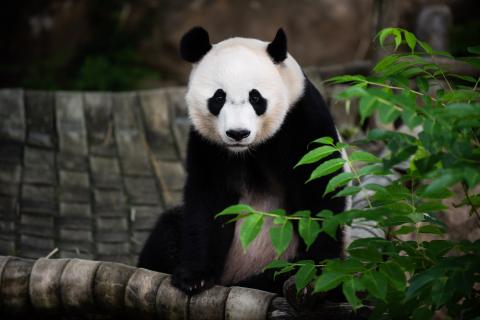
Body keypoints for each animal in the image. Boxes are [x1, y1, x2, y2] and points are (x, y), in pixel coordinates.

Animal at [137, 26, 346, 296]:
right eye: (218, 98)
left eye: (256, 98)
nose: (238, 133)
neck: (249, 150)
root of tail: (233, 278)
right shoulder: (208, 143)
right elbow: (208, 201)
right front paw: (195, 277)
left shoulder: (302, 118)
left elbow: (317, 186)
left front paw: (317, 272)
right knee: (166, 232)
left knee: (278, 272)